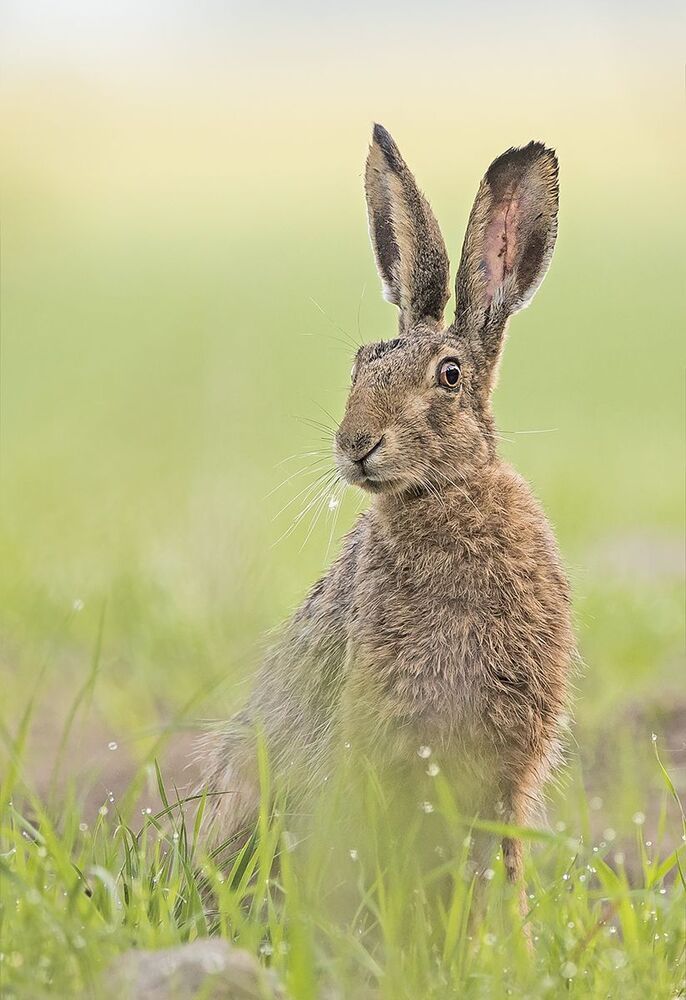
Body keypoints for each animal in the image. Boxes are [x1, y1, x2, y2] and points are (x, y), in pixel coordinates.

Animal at [197, 124, 575, 912]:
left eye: (450, 375)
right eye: (359, 363)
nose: (354, 444)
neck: (445, 496)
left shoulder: (507, 765)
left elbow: (503, 863)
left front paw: (506, 934)